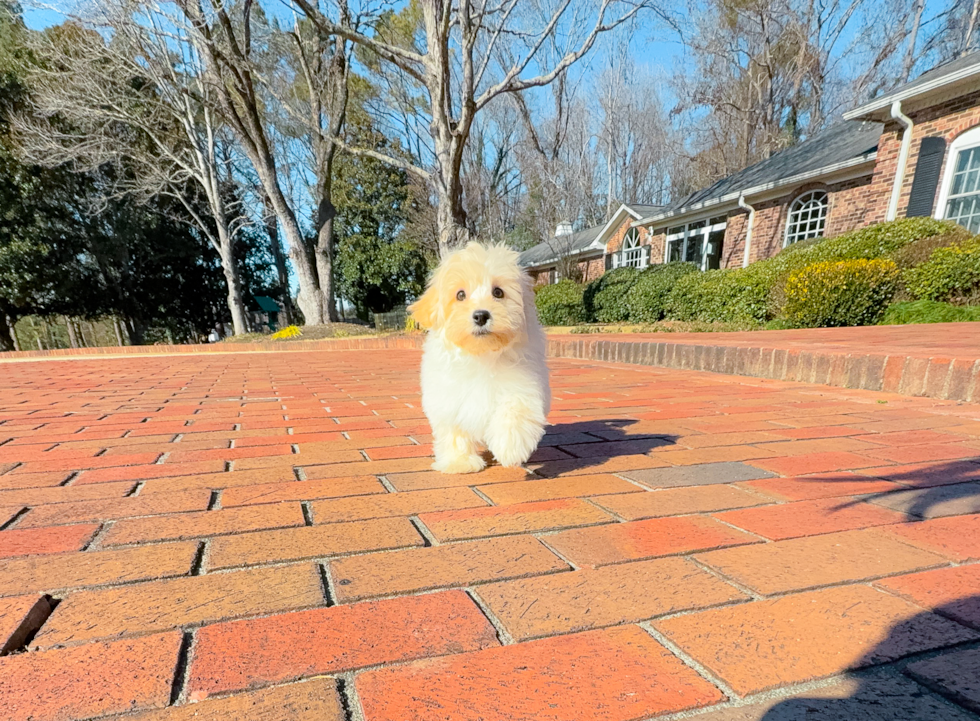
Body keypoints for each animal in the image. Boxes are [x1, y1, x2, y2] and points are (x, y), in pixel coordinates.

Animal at [408, 240, 552, 472]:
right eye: (460, 295)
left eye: (498, 292)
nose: (481, 315)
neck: (482, 354)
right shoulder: (450, 399)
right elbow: (455, 431)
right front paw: (460, 462)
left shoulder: (523, 383)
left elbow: (515, 408)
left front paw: (510, 447)